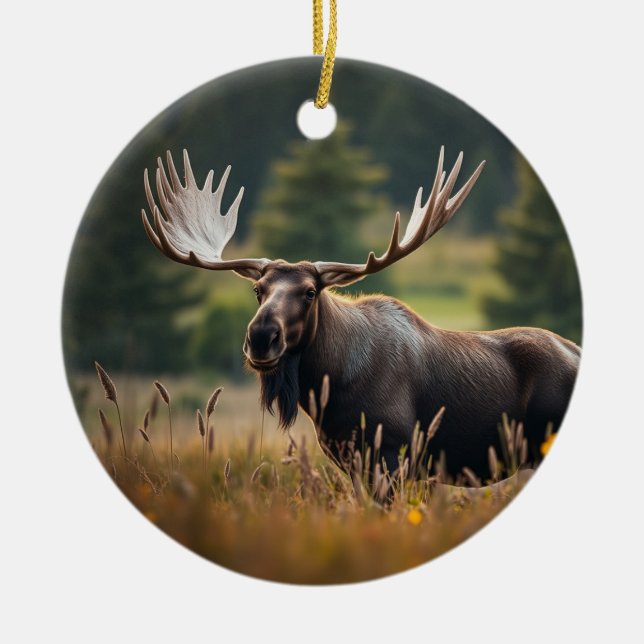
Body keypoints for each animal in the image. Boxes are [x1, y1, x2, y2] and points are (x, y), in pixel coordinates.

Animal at [141, 148, 580, 483]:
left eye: (310, 292)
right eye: (257, 290)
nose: (262, 337)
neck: (331, 389)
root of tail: (575, 351)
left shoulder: (393, 452)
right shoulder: (350, 459)